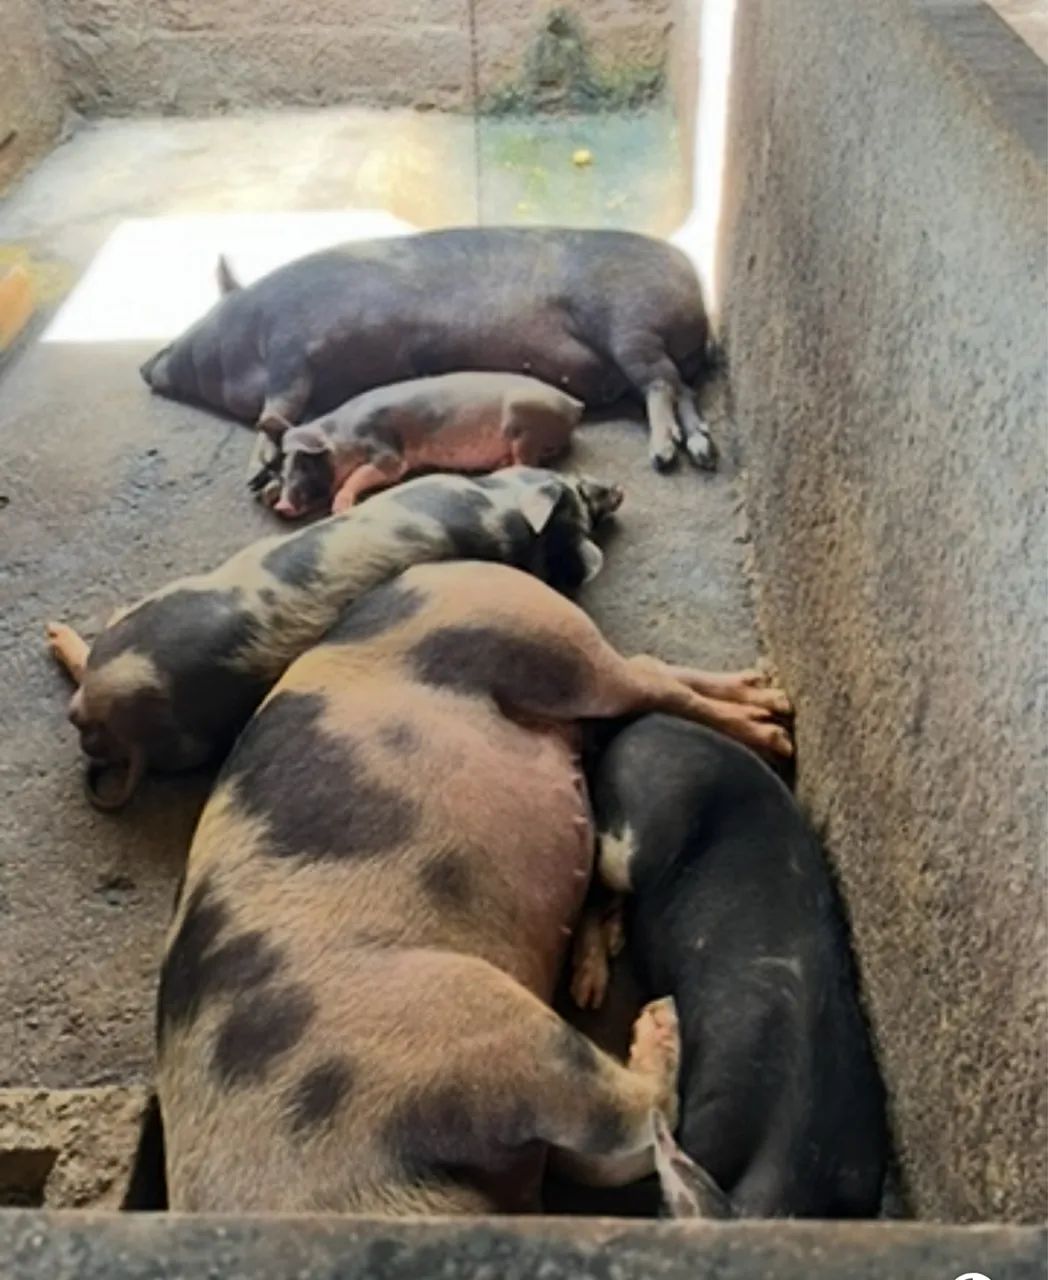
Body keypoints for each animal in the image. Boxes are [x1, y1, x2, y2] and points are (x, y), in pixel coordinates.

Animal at [45, 467, 622, 810]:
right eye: (581, 491)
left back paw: (55, 632)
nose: (618, 489)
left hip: (144, 620)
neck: (502, 516)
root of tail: (120, 717)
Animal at [140, 227, 717, 473]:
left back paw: (664, 455)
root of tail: (696, 289)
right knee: (683, 389)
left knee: (661, 384)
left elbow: (278, 405)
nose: (144, 366)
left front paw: (259, 461)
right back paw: (702, 450)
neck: (252, 332)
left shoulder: (290, 348)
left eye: (187, 329)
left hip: (629, 322)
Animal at [151, 560, 793, 1213]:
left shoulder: (467, 1019)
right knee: (643, 675)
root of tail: (429, 573)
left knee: (640, 675)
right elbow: (606, 1155)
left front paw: (658, 1019)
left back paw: (771, 721)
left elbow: (633, 1118)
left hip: (540, 637)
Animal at [266, 371, 584, 519]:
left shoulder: (388, 453)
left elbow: (367, 473)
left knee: (527, 463)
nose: (281, 505)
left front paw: (340, 509)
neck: (343, 436)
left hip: (524, 422)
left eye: (305, 464)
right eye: (282, 473)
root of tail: (574, 405)